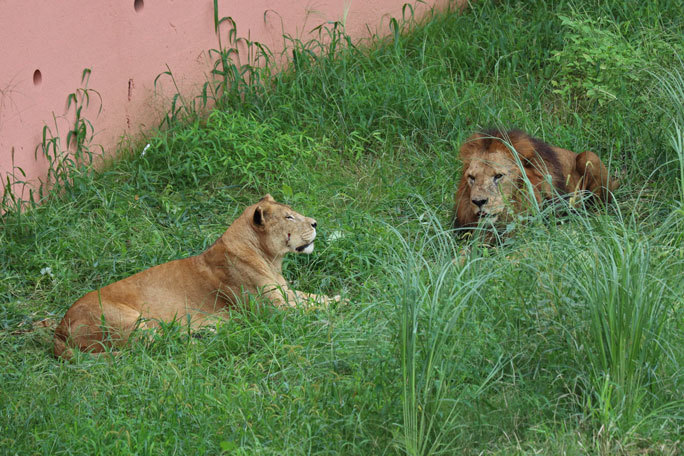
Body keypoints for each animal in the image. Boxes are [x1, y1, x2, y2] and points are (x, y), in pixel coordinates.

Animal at [54, 194, 338, 358]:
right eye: (289, 216)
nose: (315, 223)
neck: (270, 259)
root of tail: (60, 328)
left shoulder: (288, 295)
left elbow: (318, 298)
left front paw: (341, 299)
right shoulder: (276, 311)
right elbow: (312, 310)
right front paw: (340, 315)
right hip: (130, 322)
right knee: (161, 348)